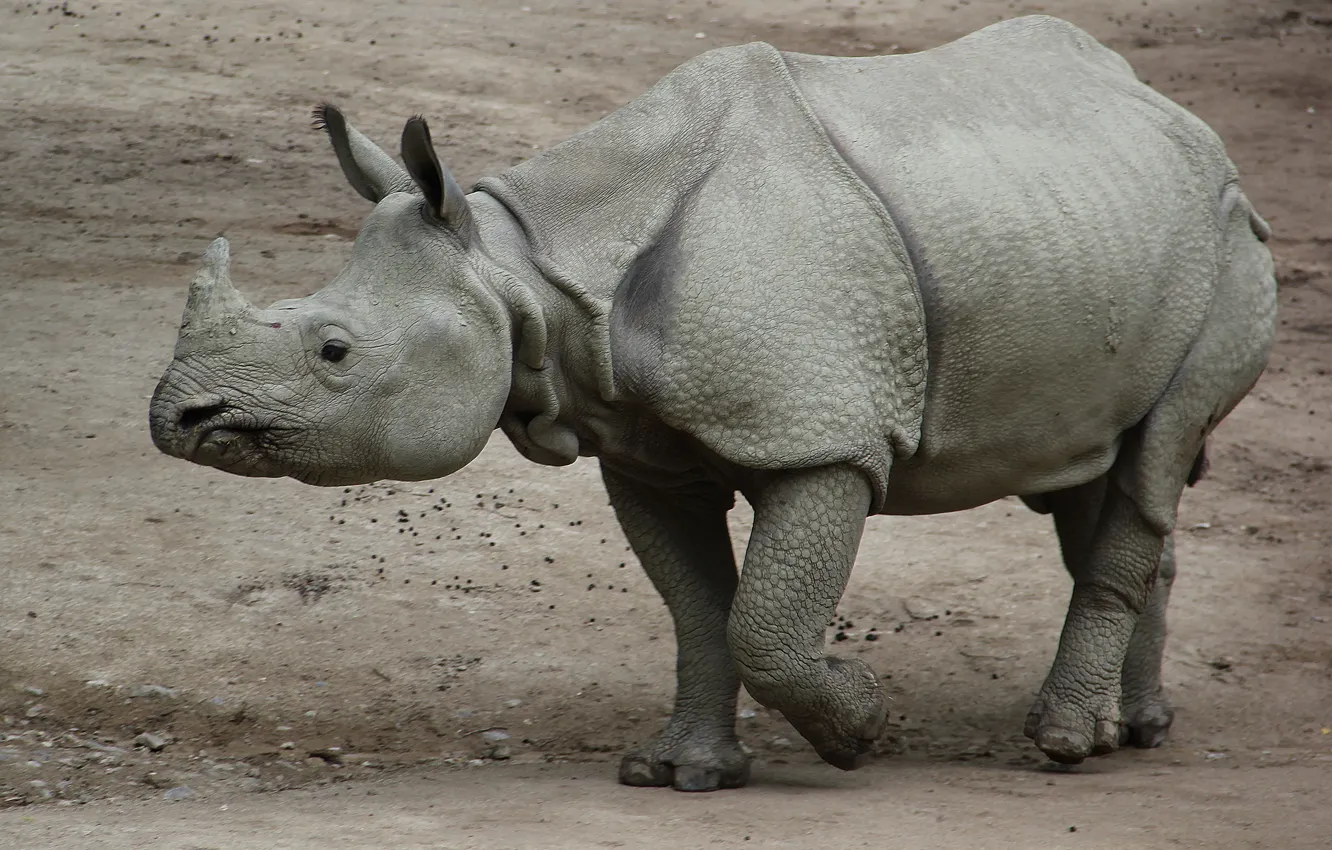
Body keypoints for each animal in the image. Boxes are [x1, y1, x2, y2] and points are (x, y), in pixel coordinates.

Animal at [149, 15, 1276, 791]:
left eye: (334, 350)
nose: (175, 418)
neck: (527, 268)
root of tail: (1184, 118)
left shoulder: (822, 435)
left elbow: (764, 620)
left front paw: (858, 728)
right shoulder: (639, 447)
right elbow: (697, 607)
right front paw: (681, 772)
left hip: (1228, 237)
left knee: (1153, 456)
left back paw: (1065, 746)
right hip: (1094, 225)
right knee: (1100, 467)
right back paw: (1137, 729)